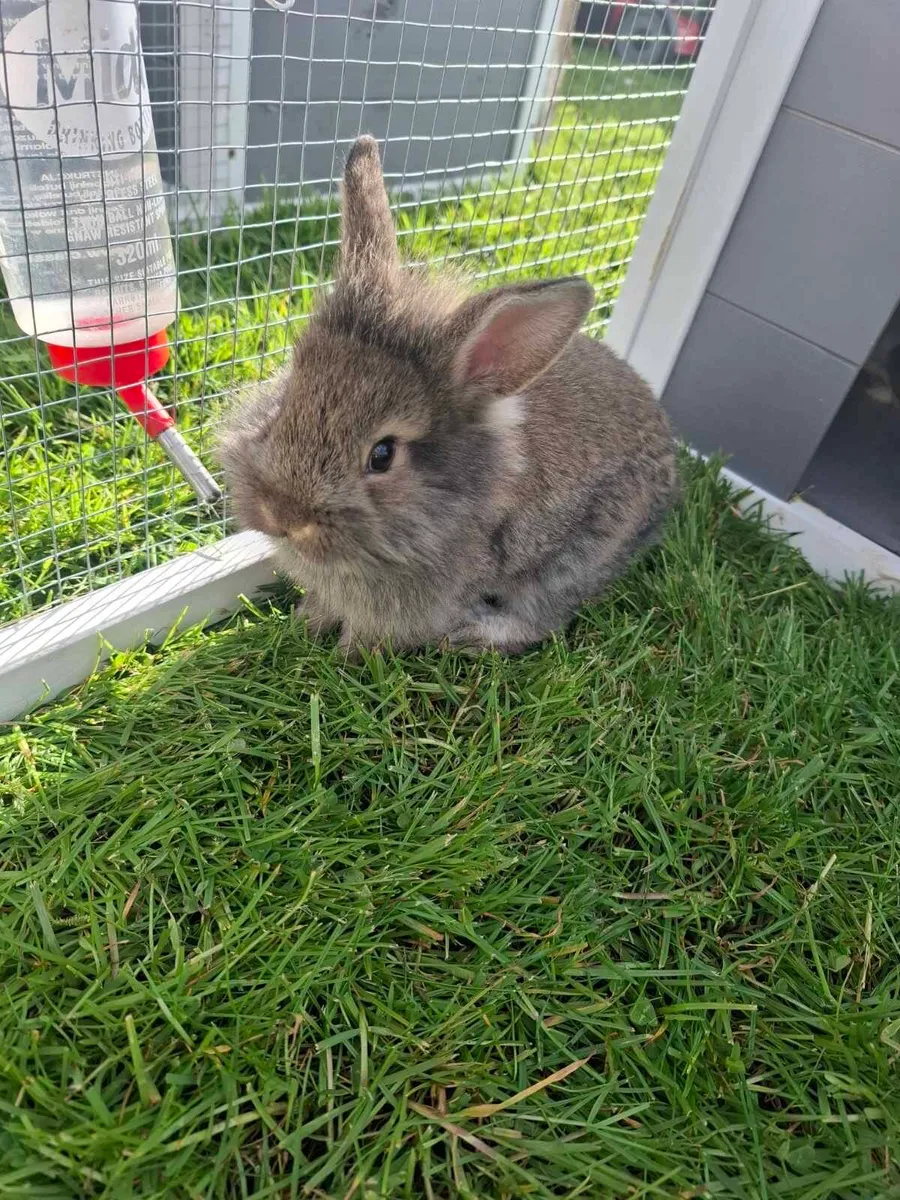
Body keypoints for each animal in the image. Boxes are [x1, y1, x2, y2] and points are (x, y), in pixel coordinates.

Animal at [218, 136, 677, 656]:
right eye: (284, 403)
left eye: (382, 455)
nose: (283, 516)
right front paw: (307, 622)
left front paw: (345, 653)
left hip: (577, 558)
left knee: (544, 617)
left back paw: (473, 635)